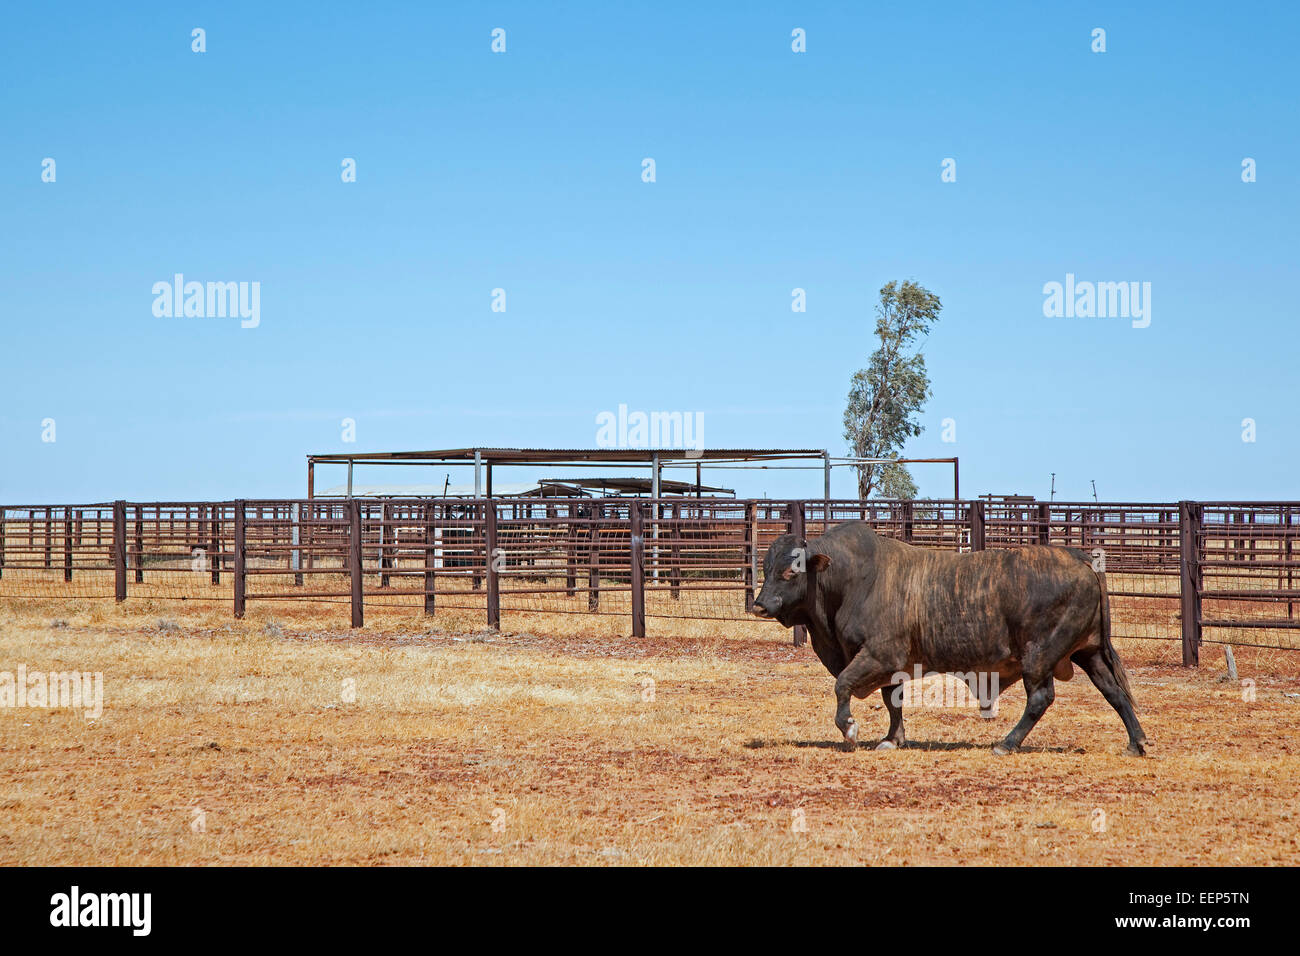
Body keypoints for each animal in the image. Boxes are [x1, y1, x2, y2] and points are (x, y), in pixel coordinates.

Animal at [752, 522, 1148, 756]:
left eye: (791, 572)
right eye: (766, 569)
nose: (759, 604)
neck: (850, 580)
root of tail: (1078, 557)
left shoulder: (880, 655)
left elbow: (844, 686)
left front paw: (849, 728)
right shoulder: (890, 665)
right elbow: (893, 701)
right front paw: (893, 738)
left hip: (1039, 656)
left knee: (1040, 698)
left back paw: (1006, 743)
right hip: (1089, 652)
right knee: (1113, 691)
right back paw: (1136, 741)